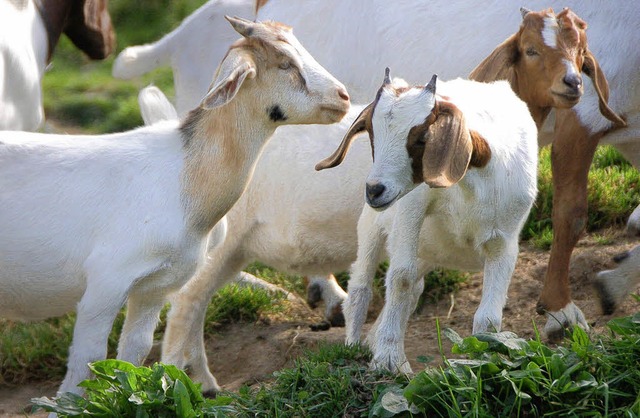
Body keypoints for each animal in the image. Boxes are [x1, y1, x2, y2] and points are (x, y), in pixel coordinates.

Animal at [0, 15, 350, 396]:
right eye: (285, 64)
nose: (344, 97)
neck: (184, 176)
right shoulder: (105, 283)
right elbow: (86, 363)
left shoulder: (155, 287)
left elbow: (134, 352)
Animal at [318, 71, 536, 372]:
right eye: (371, 132)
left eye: (422, 137)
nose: (375, 190)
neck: (471, 182)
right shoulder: (411, 205)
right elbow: (401, 277)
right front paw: (389, 360)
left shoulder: (504, 239)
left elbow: (489, 317)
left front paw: (484, 362)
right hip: (372, 226)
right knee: (361, 289)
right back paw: (352, 348)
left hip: (428, 249)